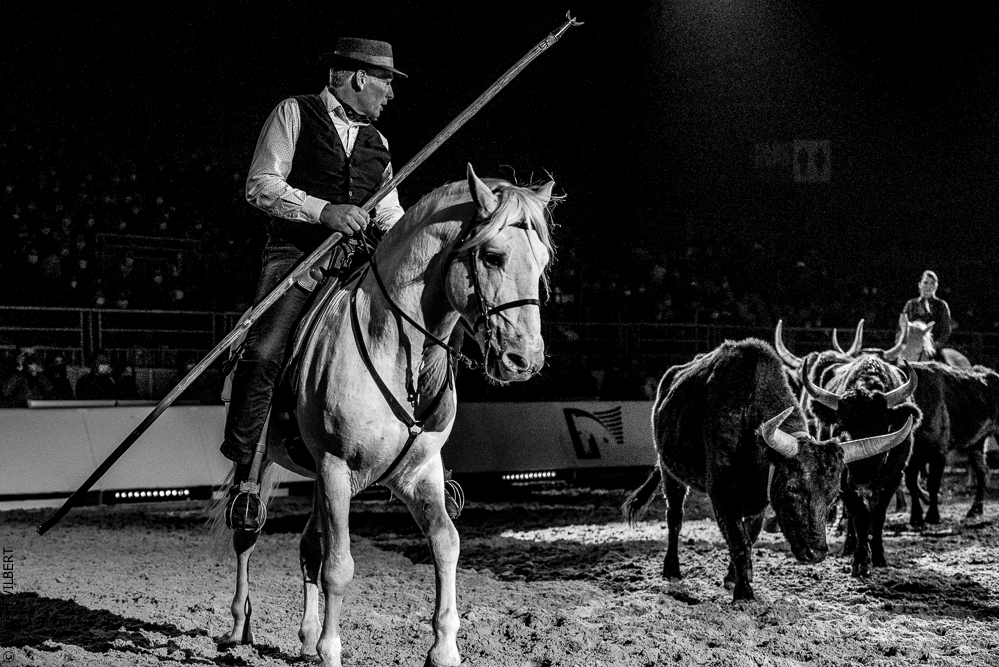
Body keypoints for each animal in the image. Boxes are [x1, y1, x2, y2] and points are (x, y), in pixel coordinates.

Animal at [211, 164, 556, 667]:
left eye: (543, 262)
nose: (524, 360)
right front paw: (331, 651)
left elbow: (446, 542)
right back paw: (239, 626)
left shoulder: (418, 473)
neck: (395, 347)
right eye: (492, 256)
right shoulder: (336, 469)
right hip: (264, 460)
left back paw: (306, 635)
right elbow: (339, 566)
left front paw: (443, 648)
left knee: (308, 545)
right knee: (247, 532)